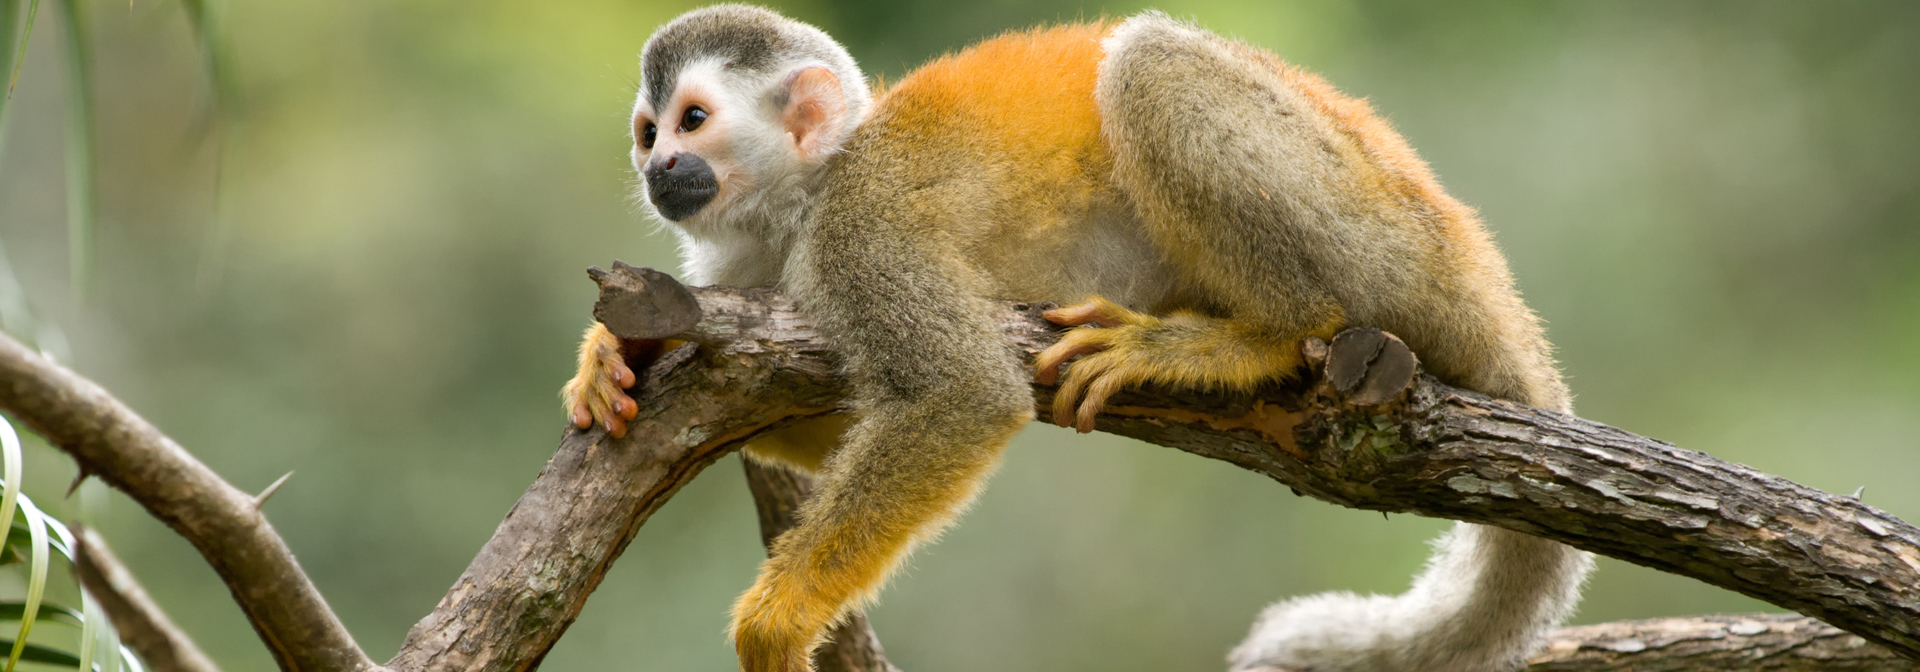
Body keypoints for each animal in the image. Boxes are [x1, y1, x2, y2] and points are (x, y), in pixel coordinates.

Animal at [560, 6, 1597, 672]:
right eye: (648, 132)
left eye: (694, 121)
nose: (660, 169)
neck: (804, 199)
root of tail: (1472, 260)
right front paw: (612, 358)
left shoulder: (862, 230)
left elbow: (961, 396)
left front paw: (781, 620)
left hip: (1381, 236)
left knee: (1150, 66)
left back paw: (1262, 338)